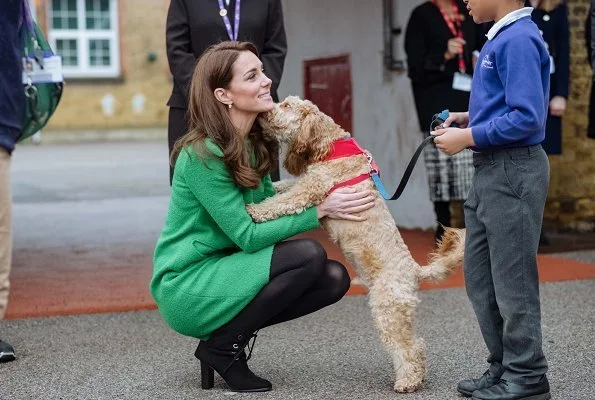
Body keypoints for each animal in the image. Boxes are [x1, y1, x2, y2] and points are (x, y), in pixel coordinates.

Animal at [247, 96, 466, 390]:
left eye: (285, 106)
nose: (264, 109)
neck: (332, 146)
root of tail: (415, 271)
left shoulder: (311, 188)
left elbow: (282, 201)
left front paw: (255, 210)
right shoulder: (306, 181)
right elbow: (284, 187)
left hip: (387, 311)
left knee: (406, 347)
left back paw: (407, 381)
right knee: (418, 344)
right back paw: (416, 377)